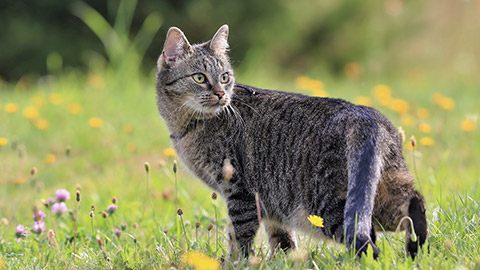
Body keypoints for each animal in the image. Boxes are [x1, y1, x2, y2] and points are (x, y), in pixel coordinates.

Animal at [155, 25, 428, 260]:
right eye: (200, 78)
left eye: (224, 77)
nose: (221, 94)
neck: (187, 125)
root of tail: (366, 115)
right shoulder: (269, 202)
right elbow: (281, 238)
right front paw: (285, 259)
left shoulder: (240, 190)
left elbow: (239, 236)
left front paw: (236, 262)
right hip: (384, 189)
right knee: (414, 203)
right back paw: (416, 249)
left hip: (327, 205)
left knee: (369, 242)